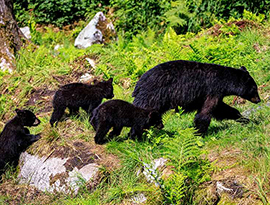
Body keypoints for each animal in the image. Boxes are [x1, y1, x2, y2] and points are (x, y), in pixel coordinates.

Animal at [132, 60, 260, 135]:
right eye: (254, 88)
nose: (259, 100)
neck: (223, 81)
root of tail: (138, 85)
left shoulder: (213, 95)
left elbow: (223, 109)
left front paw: (245, 119)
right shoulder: (212, 90)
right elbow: (205, 113)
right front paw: (199, 133)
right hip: (153, 96)